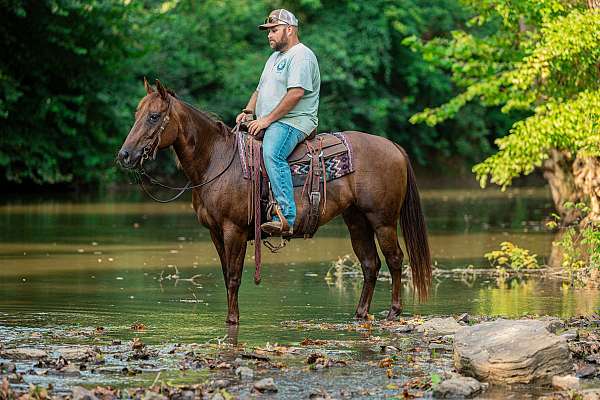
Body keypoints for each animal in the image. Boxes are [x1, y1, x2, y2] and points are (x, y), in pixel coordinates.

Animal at [116, 79, 432, 324]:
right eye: (137, 113)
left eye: (154, 116)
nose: (125, 155)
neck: (217, 161)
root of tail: (393, 146)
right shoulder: (215, 232)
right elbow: (225, 274)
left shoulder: (234, 230)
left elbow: (234, 276)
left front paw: (233, 320)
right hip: (356, 220)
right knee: (370, 263)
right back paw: (360, 313)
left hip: (383, 220)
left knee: (394, 259)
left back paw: (393, 312)